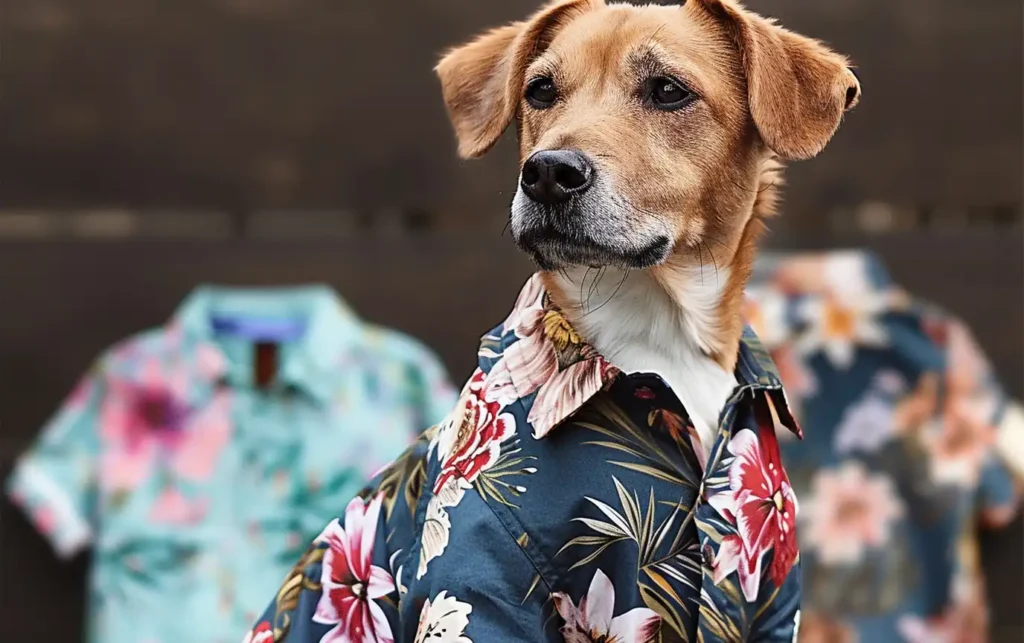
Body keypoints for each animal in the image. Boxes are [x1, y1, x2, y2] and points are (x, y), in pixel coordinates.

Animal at [245, 1, 856, 643]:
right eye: (540, 91)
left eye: (668, 90)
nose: (547, 172)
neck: (659, 342)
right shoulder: (479, 588)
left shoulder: (770, 605)